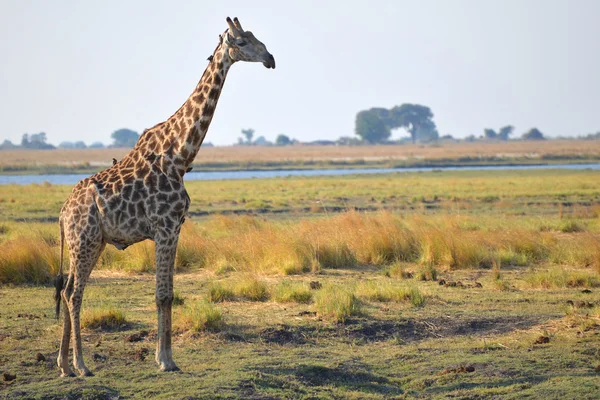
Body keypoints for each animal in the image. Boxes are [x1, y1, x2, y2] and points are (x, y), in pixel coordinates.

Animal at [54, 17, 274, 376]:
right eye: (241, 41)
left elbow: (169, 293)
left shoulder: (175, 228)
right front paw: (165, 360)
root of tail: (62, 213)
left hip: (91, 242)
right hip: (83, 240)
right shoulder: (165, 227)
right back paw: (82, 366)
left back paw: (64, 365)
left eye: (256, 37)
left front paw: (168, 358)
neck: (180, 155)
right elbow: (161, 295)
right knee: (74, 294)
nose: (271, 58)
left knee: (67, 289)